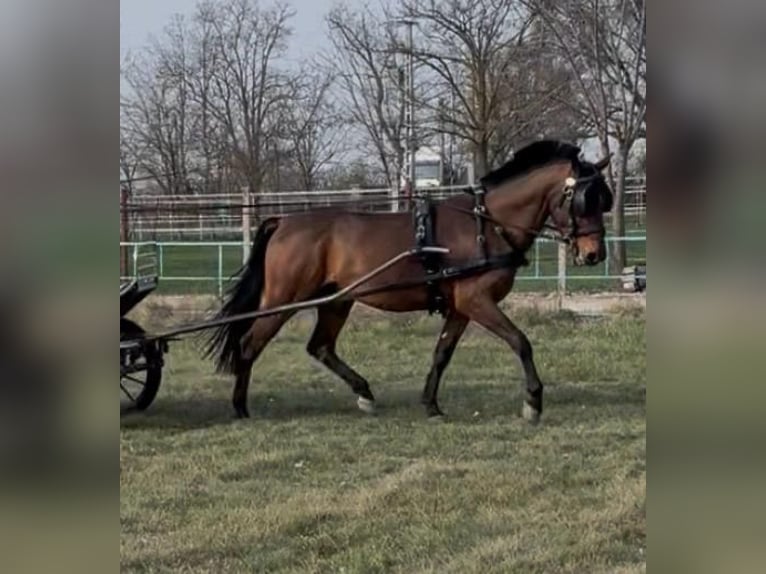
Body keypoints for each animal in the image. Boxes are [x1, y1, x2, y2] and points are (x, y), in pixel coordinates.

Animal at [206, 139, 613, 423]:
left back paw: (365, 394)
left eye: (603, 199)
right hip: (284, 298)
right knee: (250, 342)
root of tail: (284, 221)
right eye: (585, 199)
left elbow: (442, 354)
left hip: (337, 300)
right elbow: (520, 342)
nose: (595, 254)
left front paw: (431, 404)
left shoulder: (461, 307)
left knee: (320, 347)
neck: (486, 225)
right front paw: (533, 402)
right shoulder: (477, 301)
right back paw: (240, 407)